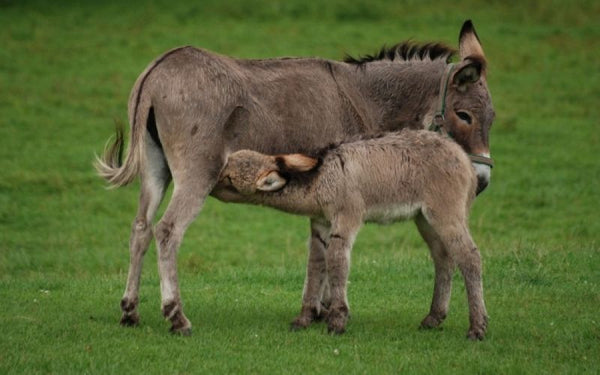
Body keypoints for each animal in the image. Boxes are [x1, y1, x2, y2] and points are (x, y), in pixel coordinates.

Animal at [218, 129, 490, 340]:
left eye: (228, 177)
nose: (211, 180)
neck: (322, 177)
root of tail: (463, 157)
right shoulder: (321, 224)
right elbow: (316, 265)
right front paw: (304, 318)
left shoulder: (346, 218)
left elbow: (337, 262)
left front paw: (337, 321)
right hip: (425, 219)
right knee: (444, 259)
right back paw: (434, 317)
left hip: (446, 213)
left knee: (469, 258)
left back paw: (477, 327)